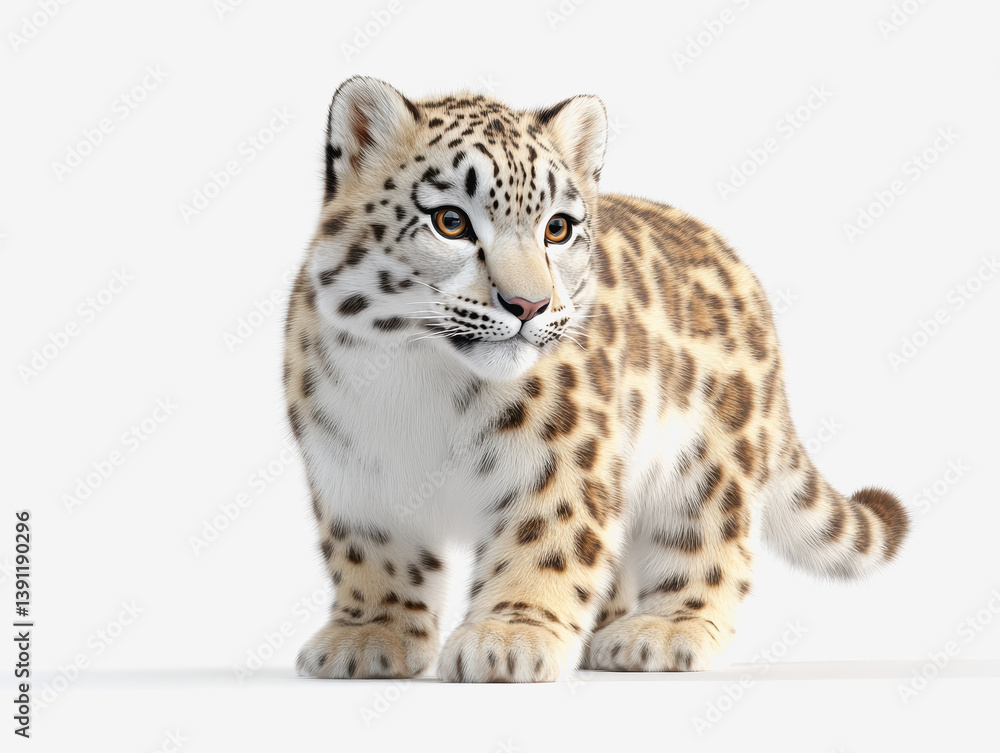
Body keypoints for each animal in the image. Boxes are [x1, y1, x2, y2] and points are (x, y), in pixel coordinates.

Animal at [283, 76, 909, 682]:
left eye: (557, 228)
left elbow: (544, 543)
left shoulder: (559, 459)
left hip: (706, 465)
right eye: (451, 221)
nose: (529, 305)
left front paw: (509, 637)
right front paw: (369, 637)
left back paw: (661, 631)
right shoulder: (350, 473)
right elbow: (376, 557)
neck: (418, 382)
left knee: (707, 546)